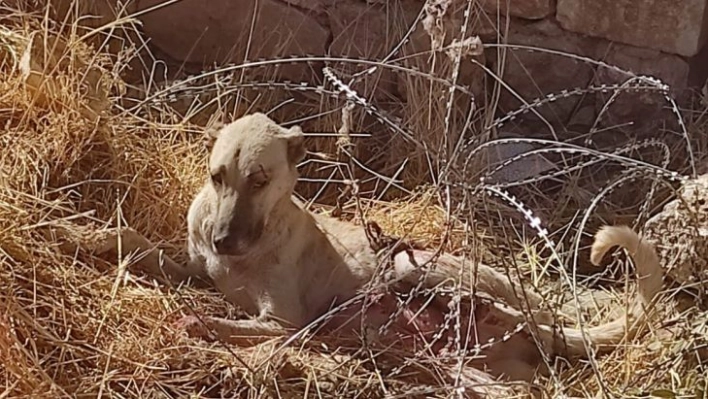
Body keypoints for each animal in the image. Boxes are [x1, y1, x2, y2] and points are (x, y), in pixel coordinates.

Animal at [92, 111, 664, 384]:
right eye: (218, 176)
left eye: (260, 180)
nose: (223, 241)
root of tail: (542, 315)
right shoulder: (191, 267)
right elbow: (133, 242)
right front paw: (86, 236)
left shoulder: (282, 321)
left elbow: (226, 325)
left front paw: (199, 322)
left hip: (422, 269)